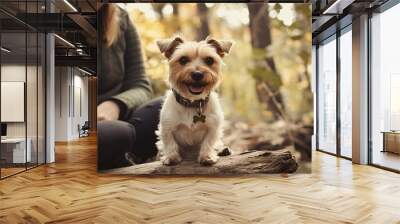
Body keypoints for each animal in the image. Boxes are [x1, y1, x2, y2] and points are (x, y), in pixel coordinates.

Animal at [155, 36, 233, 165]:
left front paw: (207, 156)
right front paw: (171, 157)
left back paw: (223, 150)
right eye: (183, 60)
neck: (192, 103)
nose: (197, 74)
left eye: (209, 60)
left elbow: (208, 142)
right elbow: (169, 142)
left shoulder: (213, 127)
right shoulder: (167, 126)